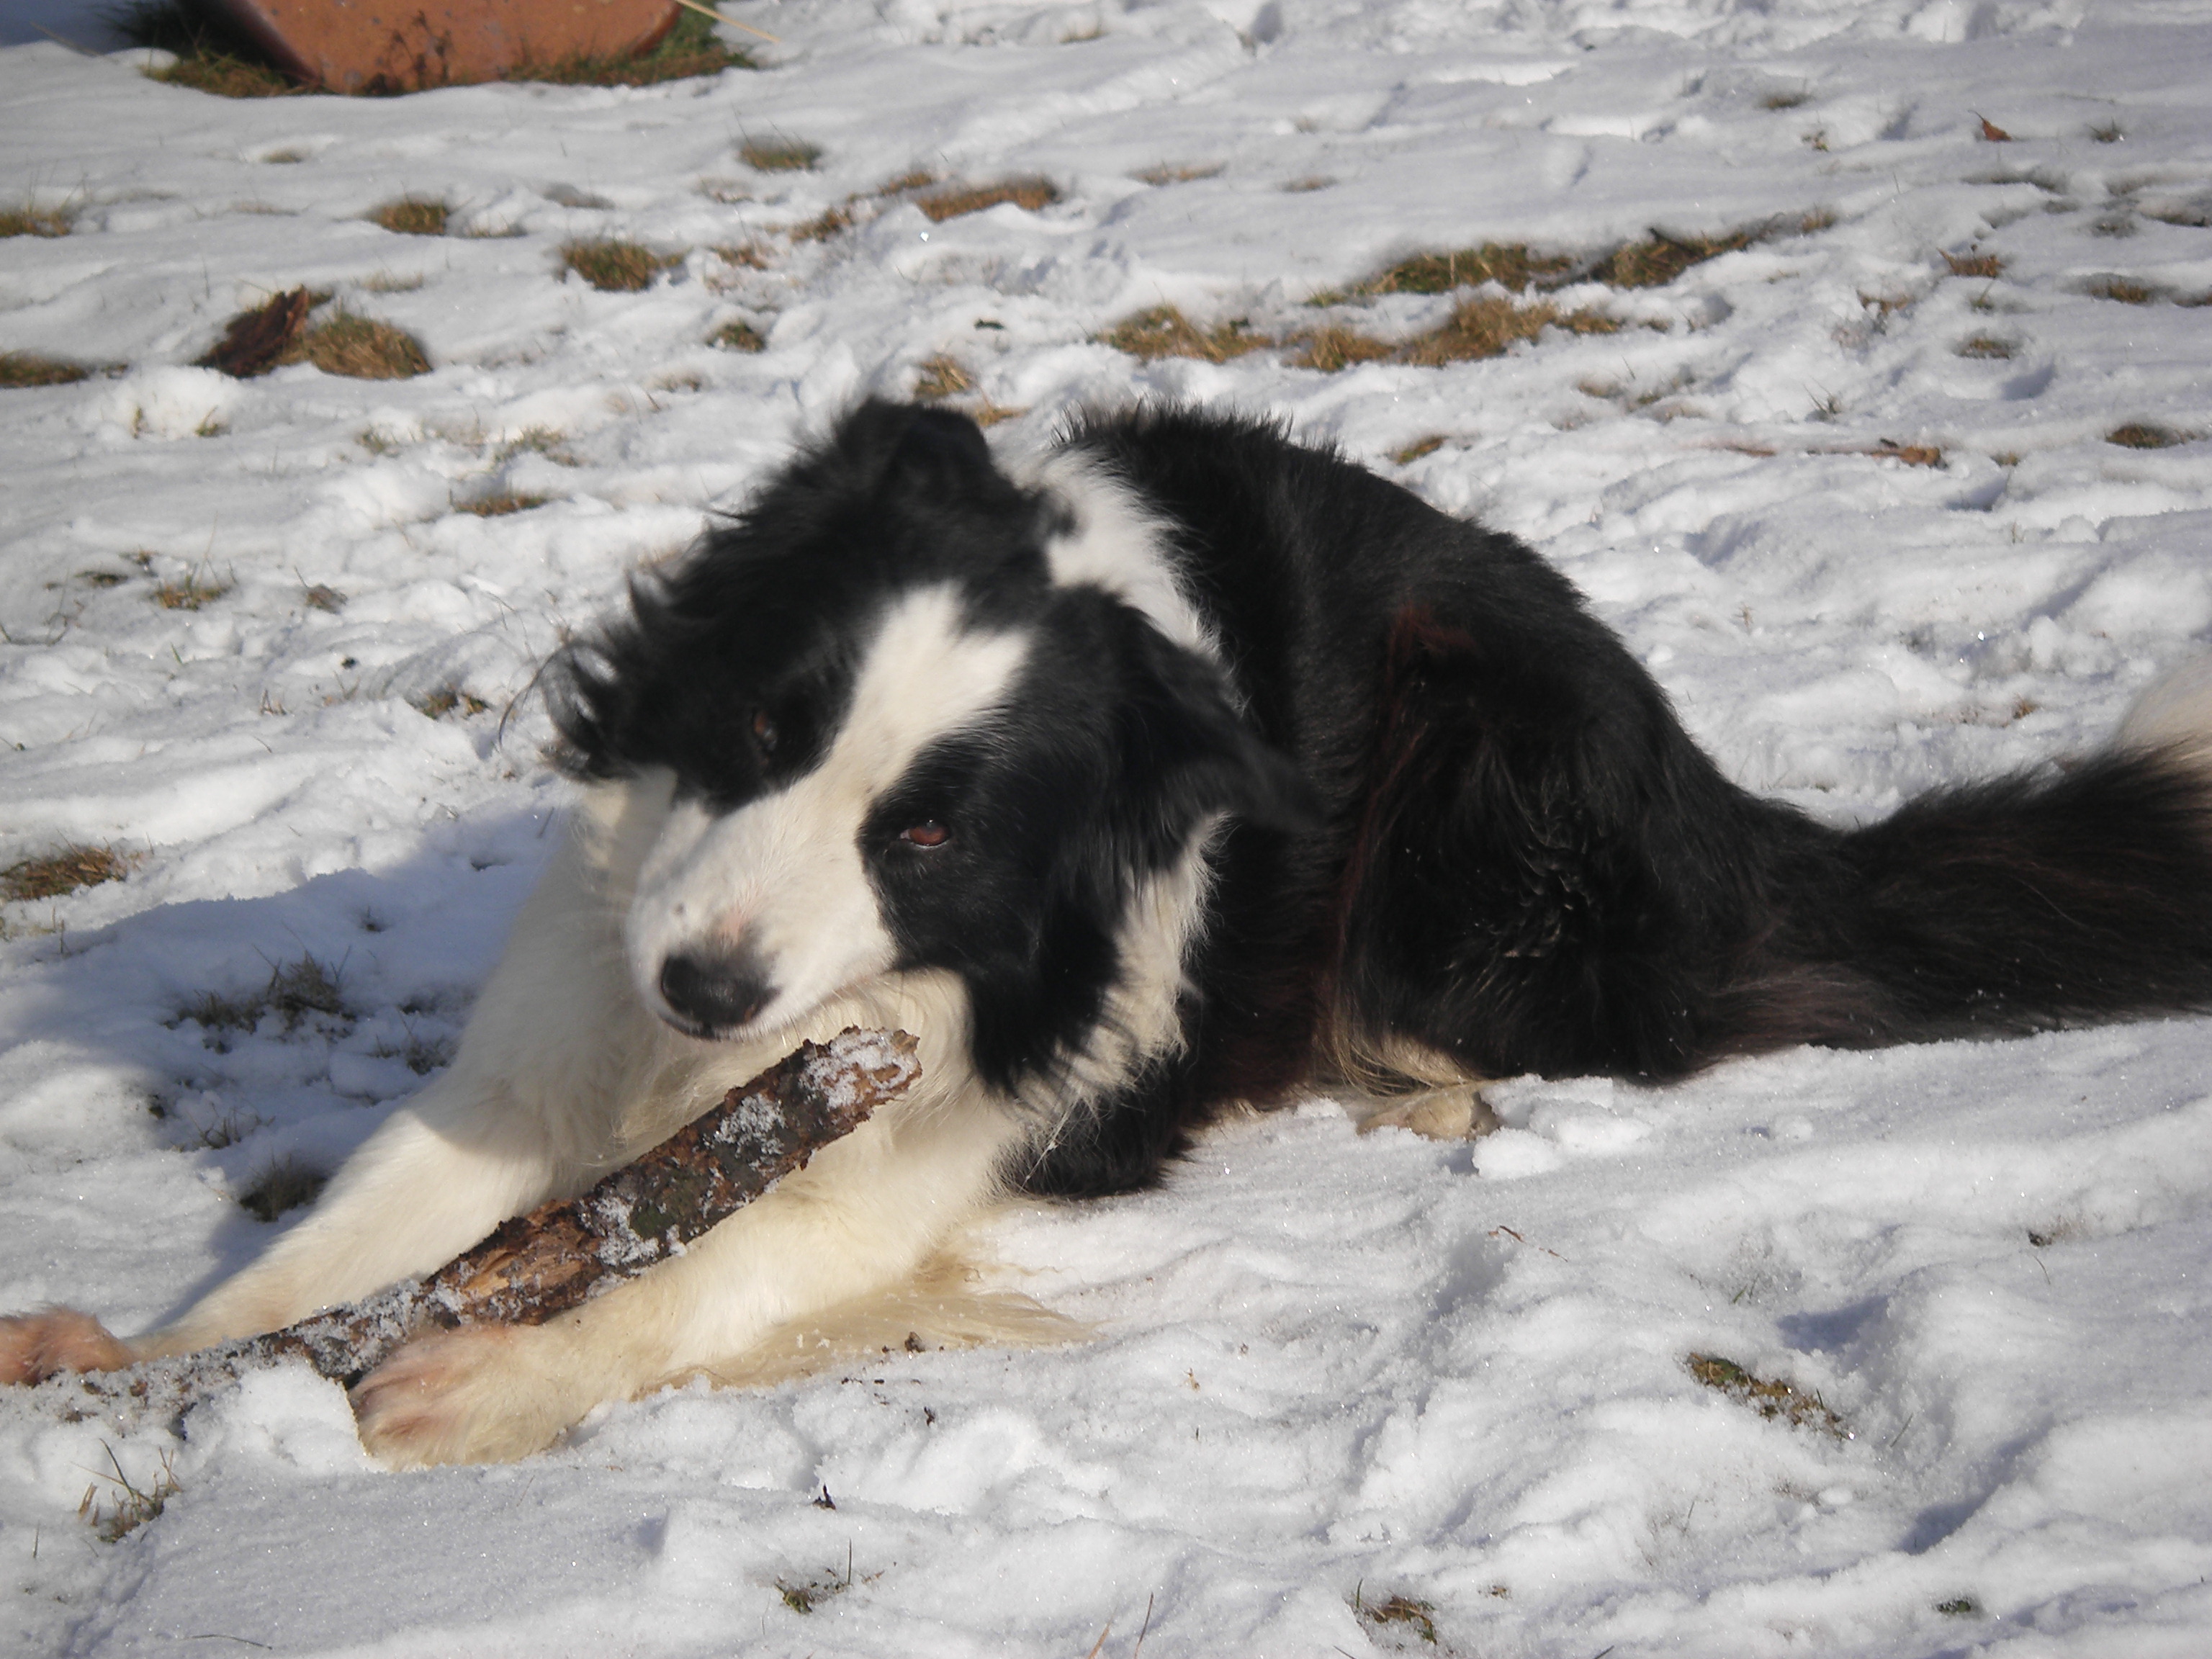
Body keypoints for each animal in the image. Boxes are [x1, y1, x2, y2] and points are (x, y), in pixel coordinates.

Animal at [4, 407, 2212, 1468]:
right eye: (765, 734)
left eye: (928, 832)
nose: (704, 991)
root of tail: (1712, 791)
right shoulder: (574, 1009)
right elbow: (342, 1242)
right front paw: (134, 1360)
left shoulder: (920, 1123)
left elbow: (704, 1267)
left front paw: (479, 1385)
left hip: (1482, 754)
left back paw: (1409, 1093)